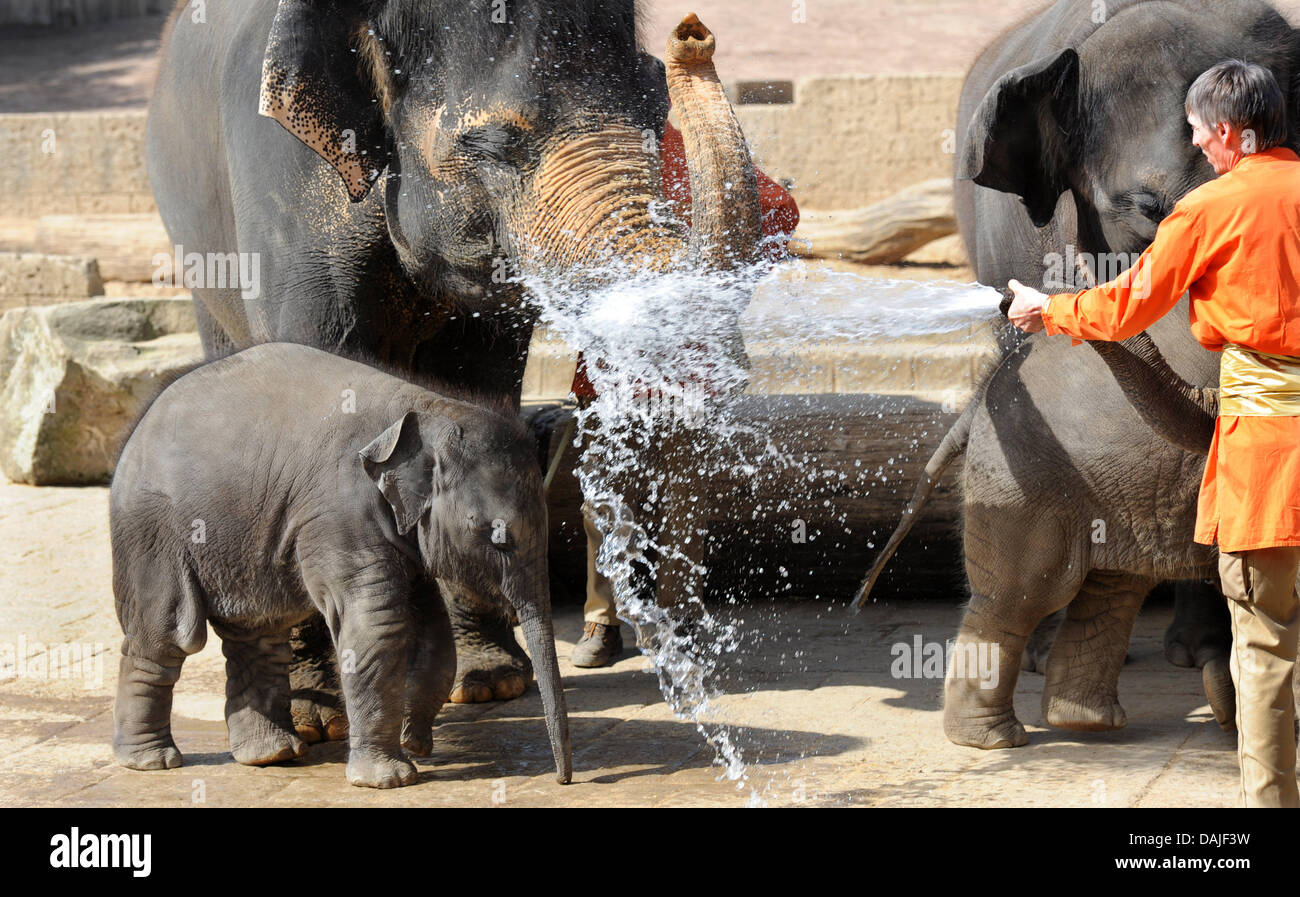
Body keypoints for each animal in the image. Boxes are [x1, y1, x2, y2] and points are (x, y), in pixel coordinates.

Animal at [114, 340, 572, 780]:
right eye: (498, 537)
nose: (563, 780)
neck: (424, 407)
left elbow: (430, 628)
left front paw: (415, 742)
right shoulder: (340, 513)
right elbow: (378, 622)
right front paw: (390, 778)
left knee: (259, 634)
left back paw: (272, 755)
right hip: (151, 533)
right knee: (167, 634)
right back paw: (152, 762)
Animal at [147, 0, 759, 738]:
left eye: (652, 106)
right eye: (494, 146)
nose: (693, 34)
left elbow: (477, 382)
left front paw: (490, 683)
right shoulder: (281, 188)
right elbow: (309, 372)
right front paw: (315, 716)